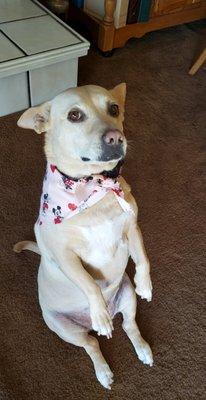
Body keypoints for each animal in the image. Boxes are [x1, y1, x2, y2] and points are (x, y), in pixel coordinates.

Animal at [14, 83, 153, 388]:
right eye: (74, 115)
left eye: (114, 108)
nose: (116, 138)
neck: (94, 188)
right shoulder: (66, 257)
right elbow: (89, 284)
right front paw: (99, 314)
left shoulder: (132, 228)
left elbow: (143, 259)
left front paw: (146, 285)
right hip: (65, 329)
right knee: (92, 344)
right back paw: (103, 367)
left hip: (127, 297)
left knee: (130, 325)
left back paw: (143, 349)